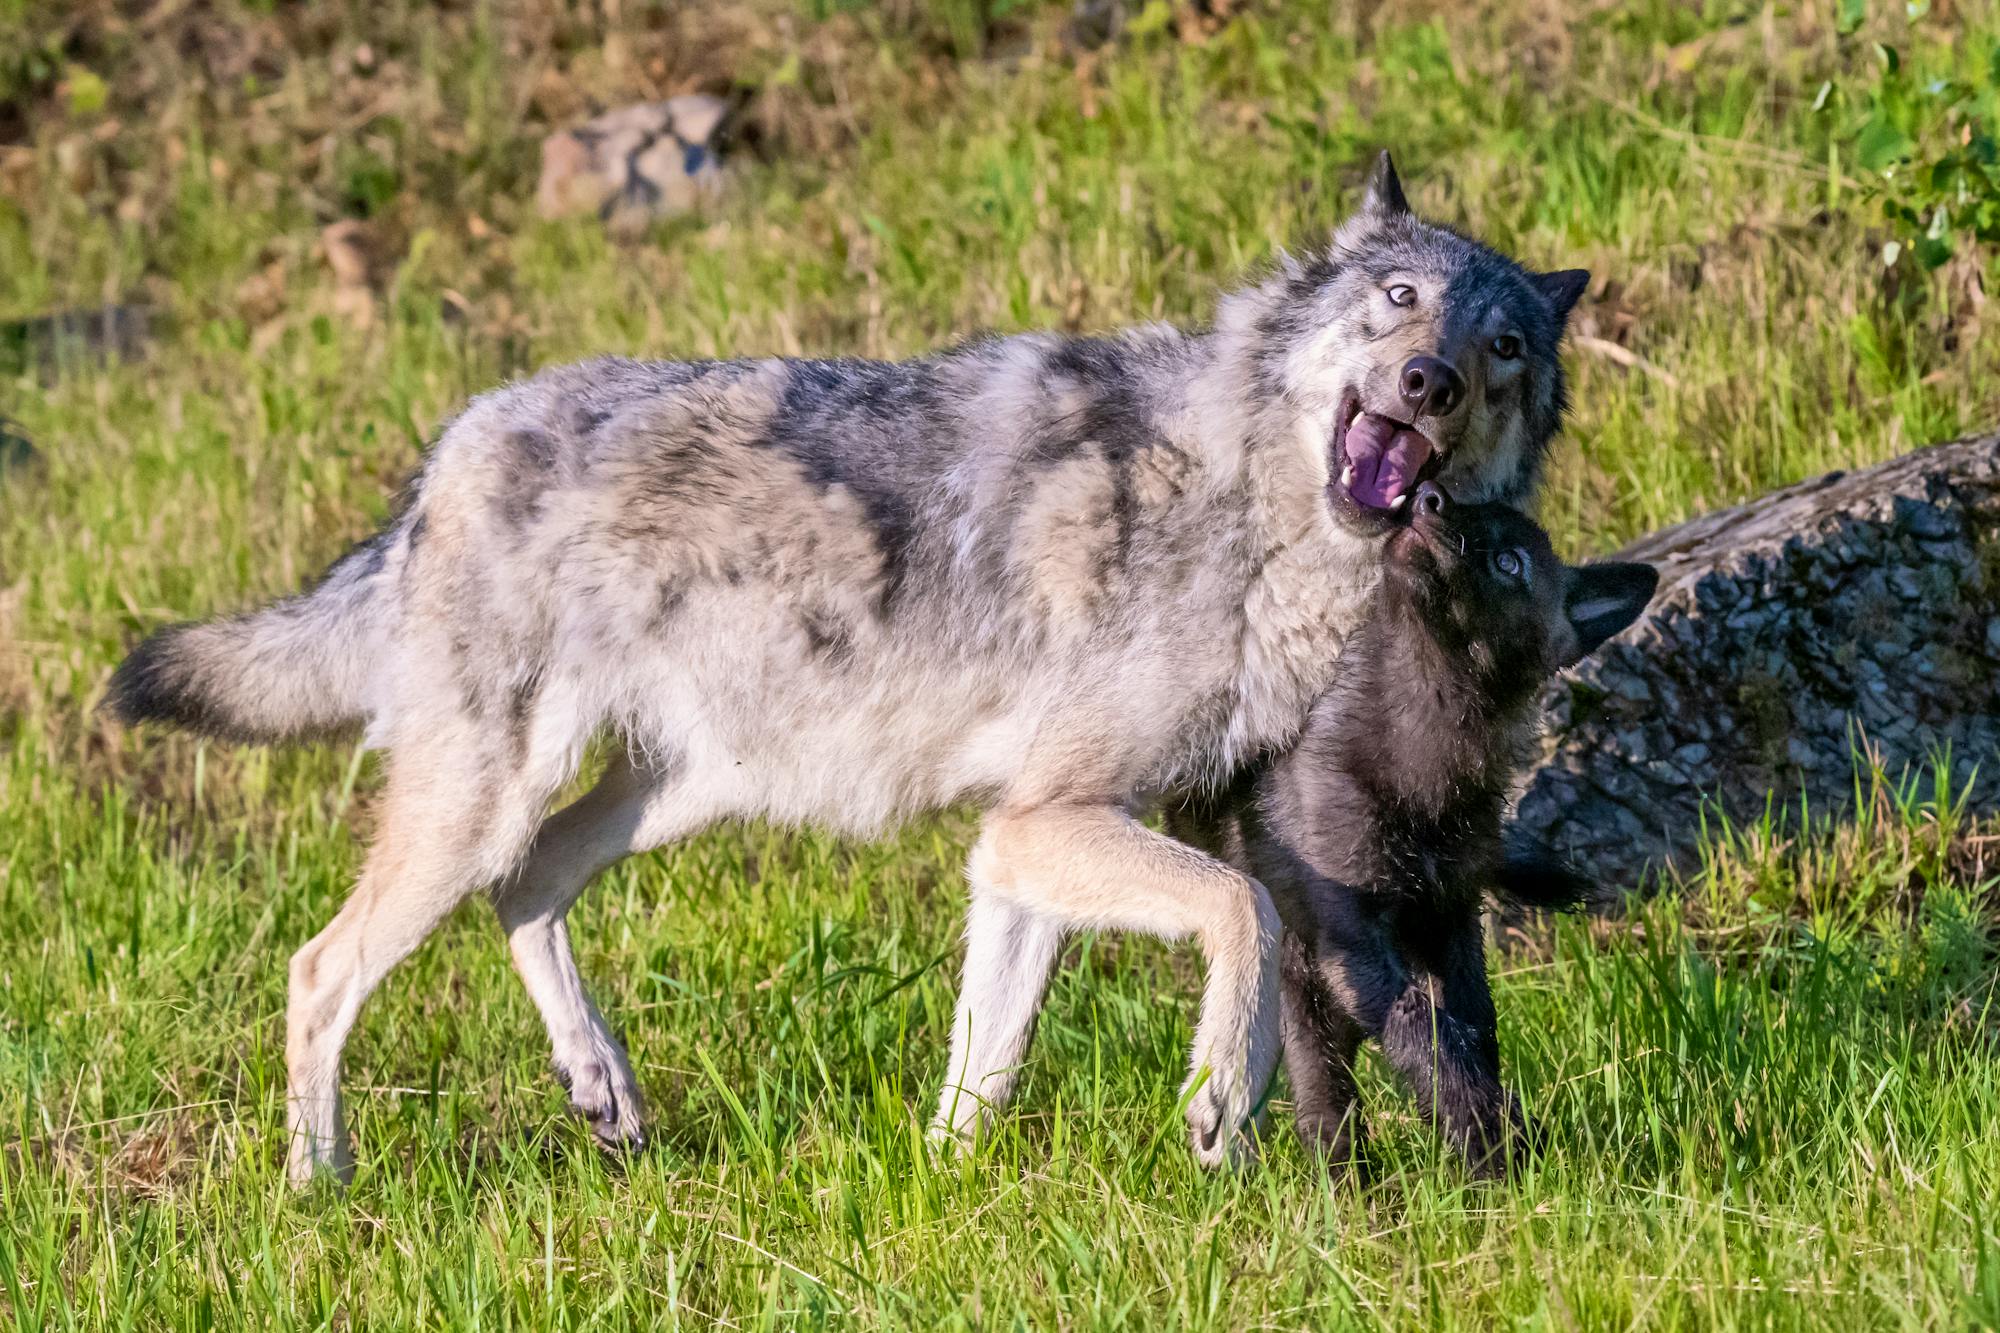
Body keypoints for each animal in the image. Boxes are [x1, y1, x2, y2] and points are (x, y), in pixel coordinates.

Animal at [109, 156, 1584, 1184]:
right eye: (1398, 299)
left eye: (1504, 347)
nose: (1431, 382)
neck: (1239, 496)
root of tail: (451, 445)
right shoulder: (1049, 822)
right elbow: (1252, 911)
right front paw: (1224, 1096)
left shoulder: (1015, 845)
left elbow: (984, 1062)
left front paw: (942, 1191)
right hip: (485, 809)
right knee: (321, 968)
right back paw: (321, 1182)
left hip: (665, 794)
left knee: (523, 893)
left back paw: (603, 1090)